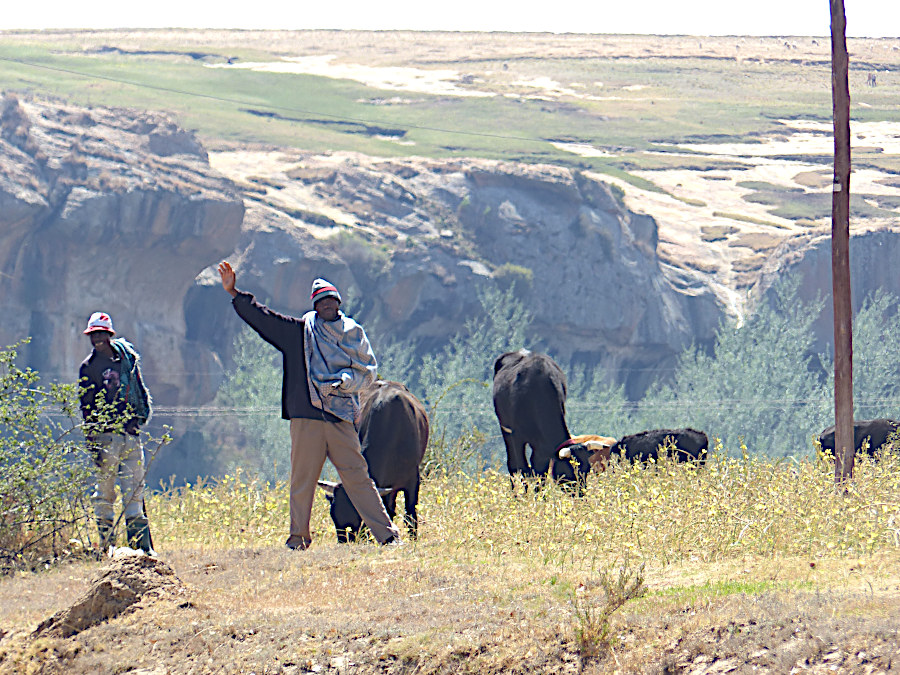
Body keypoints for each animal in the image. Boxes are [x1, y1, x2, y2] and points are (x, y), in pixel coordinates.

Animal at [492, 348, 568, 480]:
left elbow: (539, 471)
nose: (581, 486)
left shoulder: (541, 448)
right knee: (512, 464)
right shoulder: (516, 435)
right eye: (570, 470)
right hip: (506, 429)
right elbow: (521, 467)